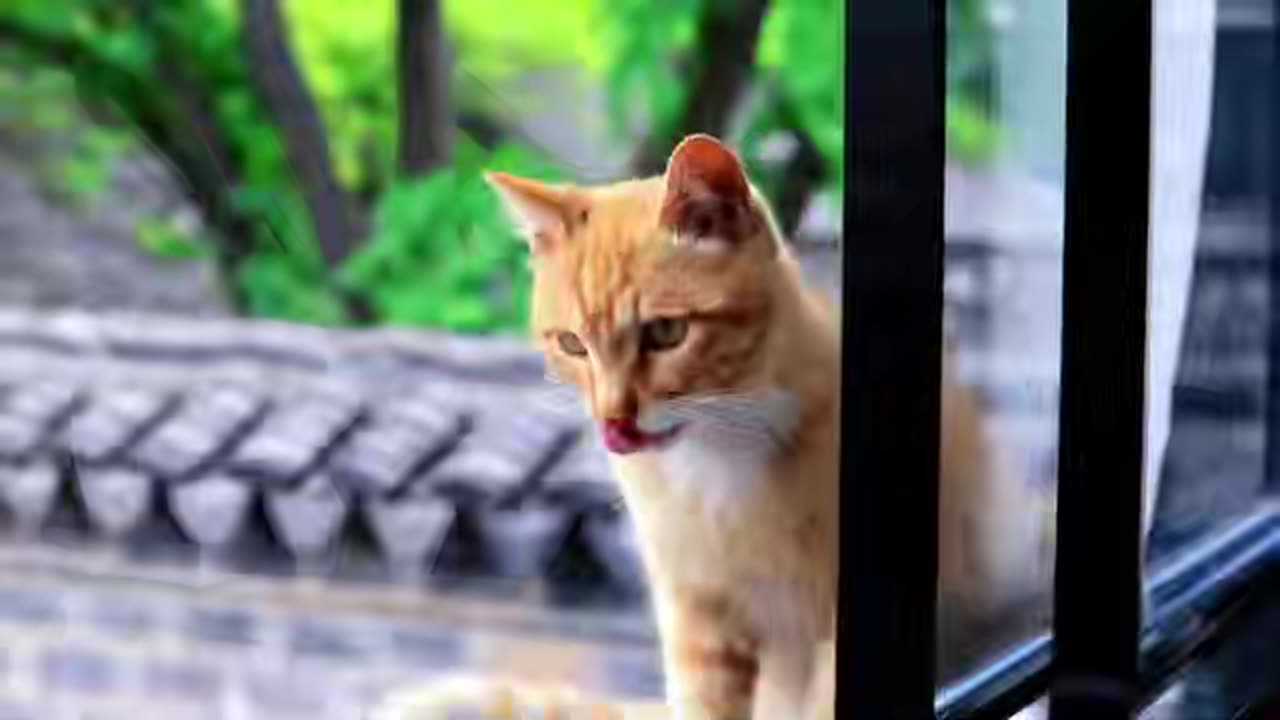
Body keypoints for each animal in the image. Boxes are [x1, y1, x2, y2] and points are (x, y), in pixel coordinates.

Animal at [373, 134, 1049, 717]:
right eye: (571, 344)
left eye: (667, 333)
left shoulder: (834, 631)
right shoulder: (698, 621)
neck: (720, 454)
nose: (614, 418)